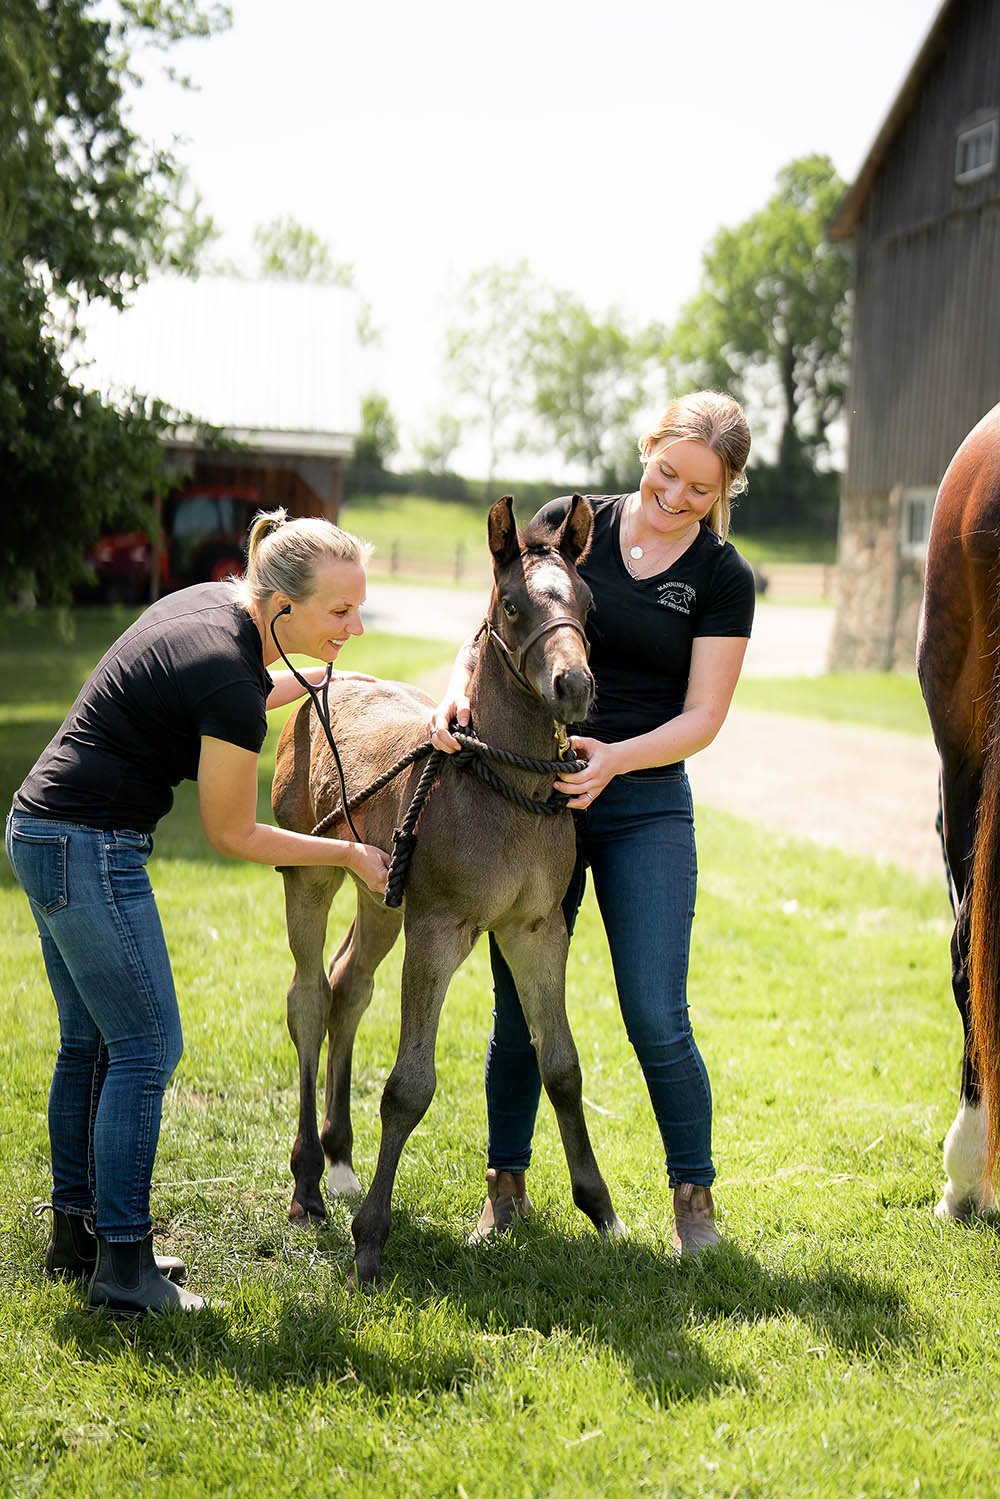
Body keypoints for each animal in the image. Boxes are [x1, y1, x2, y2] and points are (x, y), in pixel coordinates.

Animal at [271, 494, 625, 1286]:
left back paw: (340, 1162)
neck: (507, 789)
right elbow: (408, 1088)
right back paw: (308, 1182)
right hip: (309, 874)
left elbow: (562, 1067)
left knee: (347, 985)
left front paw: (602, 1209)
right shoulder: (437, 929)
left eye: (588, 603)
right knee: (308, 998)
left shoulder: (537, 929)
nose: (575, 687)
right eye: (514, 605)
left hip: (379, 892)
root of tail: (328, 682)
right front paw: (371, 1242)